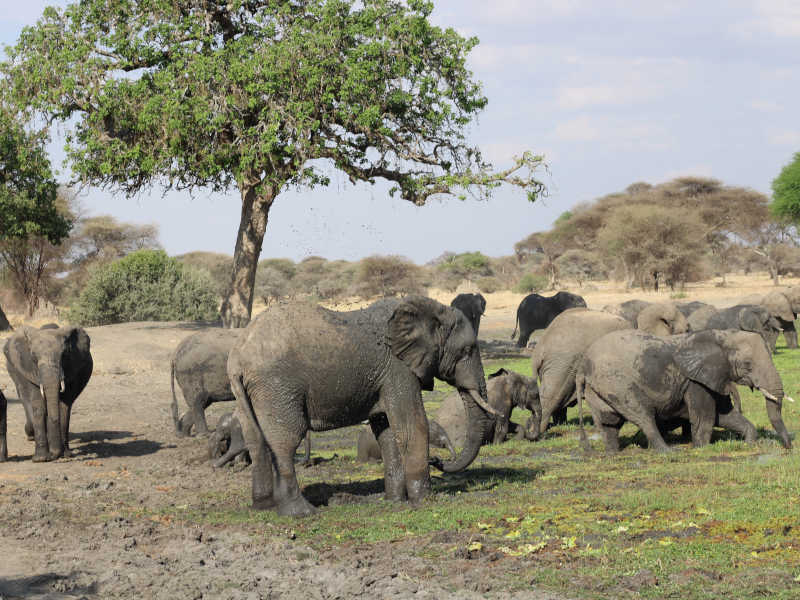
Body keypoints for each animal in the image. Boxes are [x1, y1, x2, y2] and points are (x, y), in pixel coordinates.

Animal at [2, 326, 93, 462]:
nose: (53, 455)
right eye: (34, 358)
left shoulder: (72, 370)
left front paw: (65, 455)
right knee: (24, 397)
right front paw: (40, 459)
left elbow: (64, 407)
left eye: (64, 355)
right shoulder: (29, 369)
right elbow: (38, 403)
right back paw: (31, 434)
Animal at [227, 296, 500, 516]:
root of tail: (238, 356)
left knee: (256, 441)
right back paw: (302, 513)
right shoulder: (398, 368)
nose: (438, 461)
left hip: (250, 391)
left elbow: (386, 431)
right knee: (286, 441)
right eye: (467, 350)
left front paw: (394, 501)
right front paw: (425, 501)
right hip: (276, 386)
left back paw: (264, 507)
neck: (430, 309)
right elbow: (411, 426)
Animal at [576, 330, 792, 452]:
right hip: (617, 383)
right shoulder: (695, 381)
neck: (722, 336)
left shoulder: (714, 375)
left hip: (597, 388)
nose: (789, 447)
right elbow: (706, 416)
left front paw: (749, 442)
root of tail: (583, 365)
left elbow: (724, 415)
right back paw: (668, 451)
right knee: (642, 415)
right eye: (747, 364)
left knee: (608, 421)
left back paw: (612, 453)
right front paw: (702, 449)